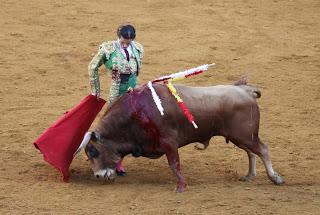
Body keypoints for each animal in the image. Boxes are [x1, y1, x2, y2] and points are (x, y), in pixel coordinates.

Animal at [75, 80, 284, 191]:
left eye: (93, 151)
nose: (98, 176)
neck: (137, 114)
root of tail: (245, 89)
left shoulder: (170, 143)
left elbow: (174, 164)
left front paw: (181, 186)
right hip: (240, 137)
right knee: (251, 153)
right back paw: (249, 176)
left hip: (245, 136)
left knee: (262, 149)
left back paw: (275, 178)